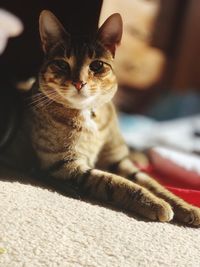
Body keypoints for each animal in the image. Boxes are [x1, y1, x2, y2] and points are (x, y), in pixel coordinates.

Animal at [1, 10, 200, 227]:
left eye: (96, 65)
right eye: (62, 64)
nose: (79, 83)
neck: (89, 115)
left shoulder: (118, 160)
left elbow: (153, 183)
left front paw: (187, 207)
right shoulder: (66, 165)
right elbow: (116, 182)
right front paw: (156, 204)